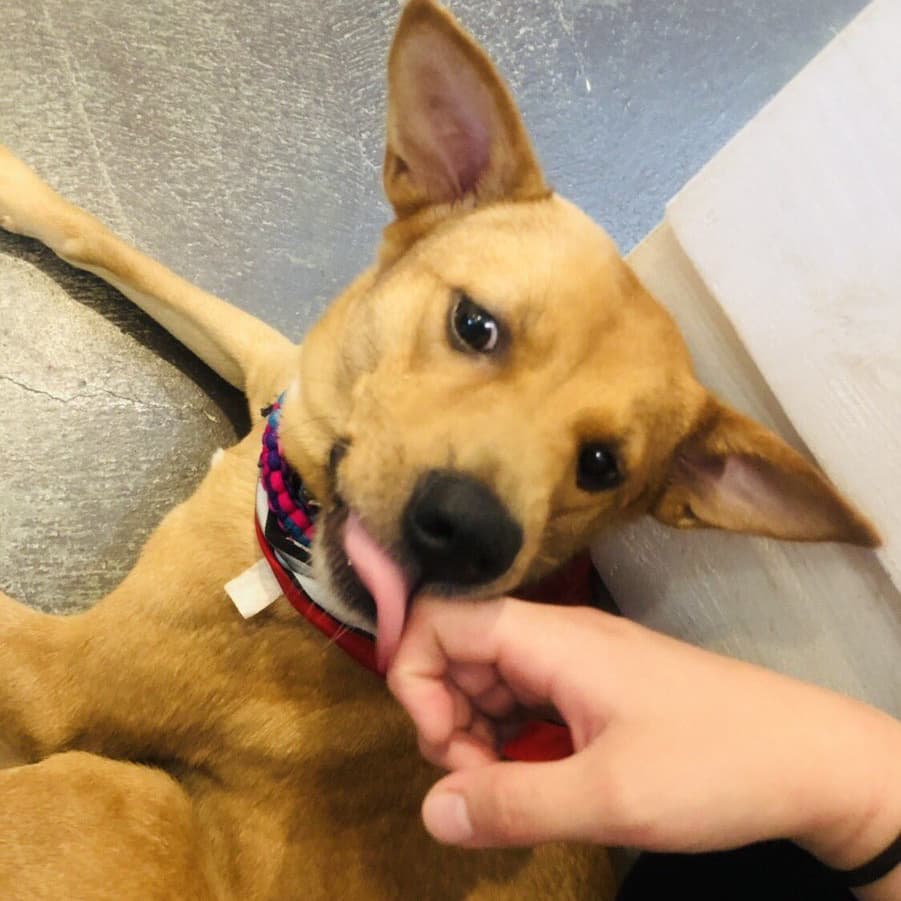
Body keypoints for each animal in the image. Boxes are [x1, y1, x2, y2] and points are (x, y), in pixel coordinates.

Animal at [0, 1, 879, 898]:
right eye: (473, 324)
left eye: (602, 466)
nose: (468, 534)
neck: (284, 546)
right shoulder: (271, 359)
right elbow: (95, 238)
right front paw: (14, 185)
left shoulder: (57, 677)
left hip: (111, 794)